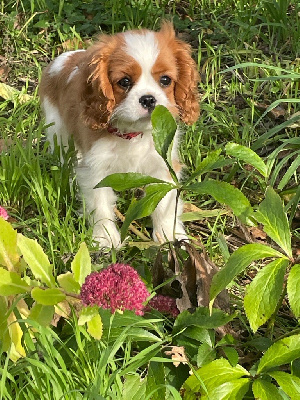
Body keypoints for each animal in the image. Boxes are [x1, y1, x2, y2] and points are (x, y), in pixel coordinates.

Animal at [39, 22, 199, 247]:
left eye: (166, 80)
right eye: (124, 82)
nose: (148, 99)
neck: (133, 134)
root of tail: (66, 57)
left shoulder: (163, 164)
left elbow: (165, 205)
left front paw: (169, 236)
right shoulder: (96, 169)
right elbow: (100, 205)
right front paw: (105, 239)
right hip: (59, 133)